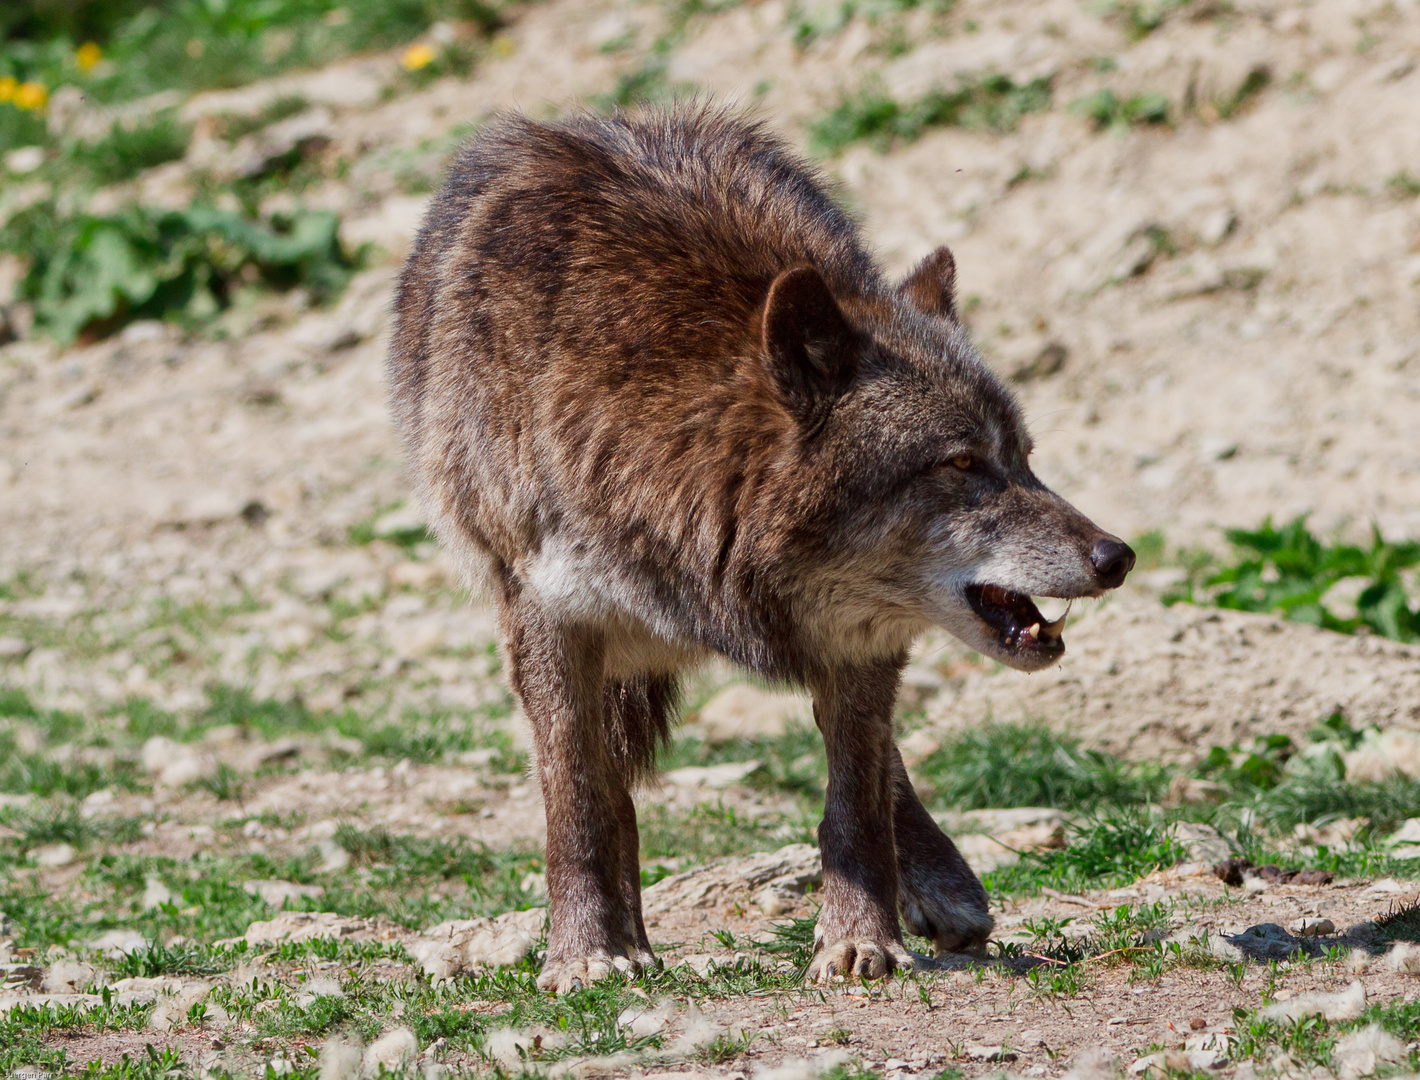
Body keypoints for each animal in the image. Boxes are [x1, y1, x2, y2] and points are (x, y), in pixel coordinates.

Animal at [386, 105, 1130, 987]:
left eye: (1023, 457)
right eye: (960, 463)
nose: (1116, 557)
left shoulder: (858, 638)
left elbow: (856, 804)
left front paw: (860, 937)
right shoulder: (543, 614)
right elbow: (578, 799)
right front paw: (585, 951)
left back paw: (940, 885)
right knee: (609, 786)